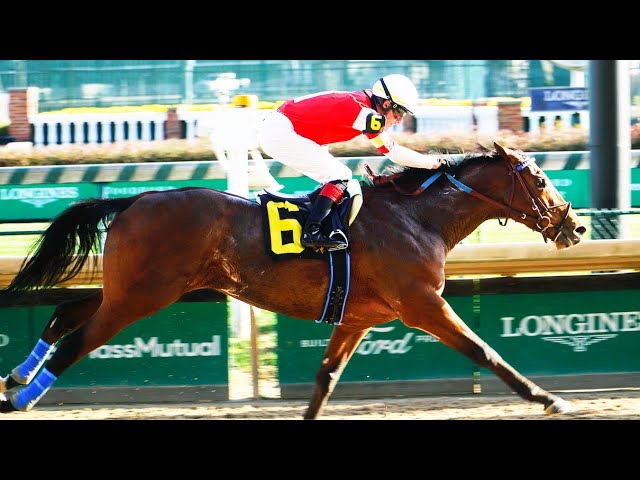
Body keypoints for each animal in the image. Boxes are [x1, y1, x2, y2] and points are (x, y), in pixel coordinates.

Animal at [0, 142, 586, 418]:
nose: (574, 225)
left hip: (132, 289)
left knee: (65, 313)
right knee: (76, 339)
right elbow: (487, 352)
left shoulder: (359, 317)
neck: (418, 218)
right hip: (143, 295)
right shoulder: (422, 304)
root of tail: (135, 199)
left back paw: (15, 378)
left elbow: (326, 377)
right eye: (539, 179)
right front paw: (549, 398)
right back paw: (22, 399)